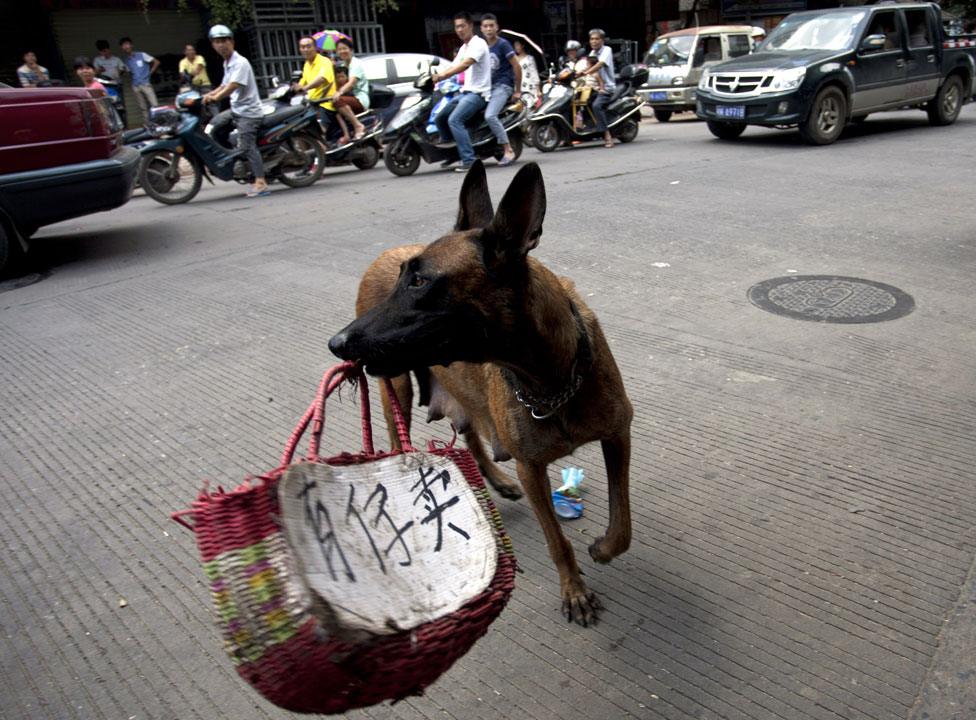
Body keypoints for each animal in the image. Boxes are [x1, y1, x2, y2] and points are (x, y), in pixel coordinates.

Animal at [328, 162, 632, 624]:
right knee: (401, 437)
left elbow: (623, 522)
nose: (337, 343)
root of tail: (384, 253)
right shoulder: (532, 468)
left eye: (420, 281)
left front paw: (602, 548)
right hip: (395, 388)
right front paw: (575, 590)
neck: (552, 379)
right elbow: (557, 541)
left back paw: (497, 479)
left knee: (470, 431)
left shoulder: (618, 436)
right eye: (405, 279)